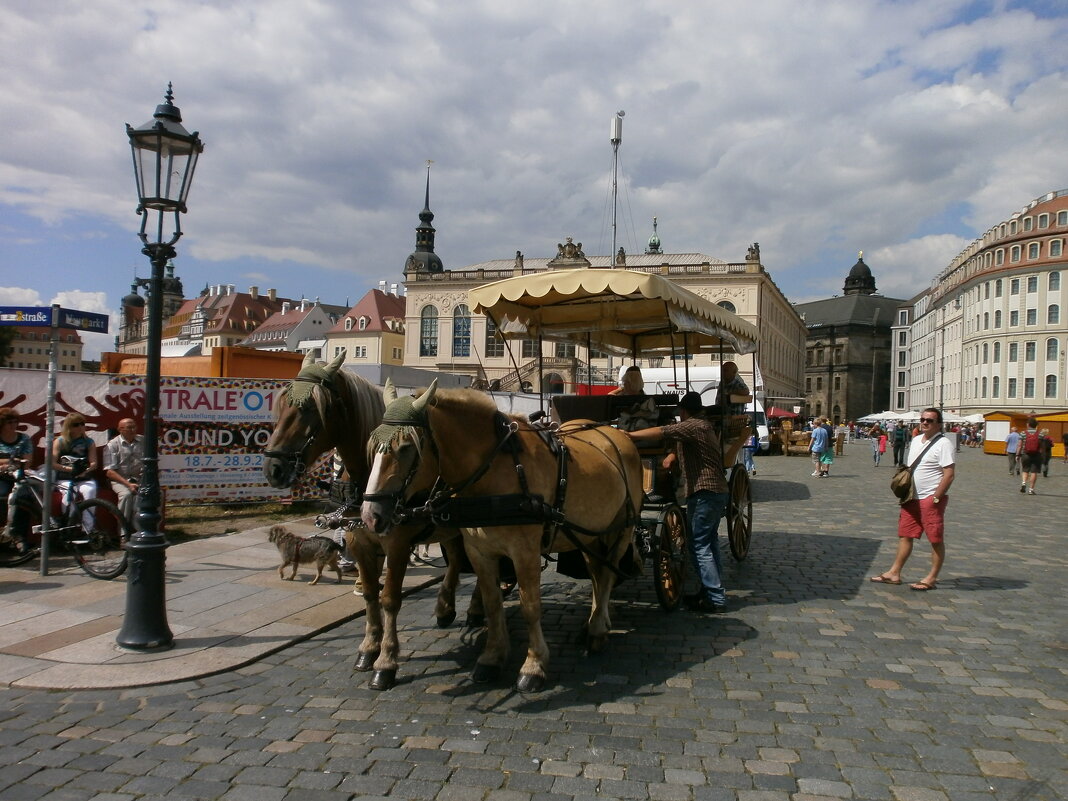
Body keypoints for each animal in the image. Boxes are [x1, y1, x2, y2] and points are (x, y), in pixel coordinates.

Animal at [260, 350, 469, 692]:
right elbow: (371, 594)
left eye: (309, 409)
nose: (273, 468)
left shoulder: (397, 546)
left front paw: (386, 662)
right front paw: (368, 649)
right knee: (454, 559)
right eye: (282, 407)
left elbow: (390, 599)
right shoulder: (359, 542)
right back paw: (445, 607)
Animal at [358, 380, 640, 692]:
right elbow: (493, 603)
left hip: (621, 528)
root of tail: (616, 433)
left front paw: (533, 665)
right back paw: (593, 622)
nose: (370, 515)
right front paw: (491, 658)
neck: (495, 474)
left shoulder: (525, 551)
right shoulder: (479, 551)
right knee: (596, 573)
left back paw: (598, 630)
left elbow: (531, 606)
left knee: (609, 574)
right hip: (589, 533)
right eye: (372, 446)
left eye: (406, 447)